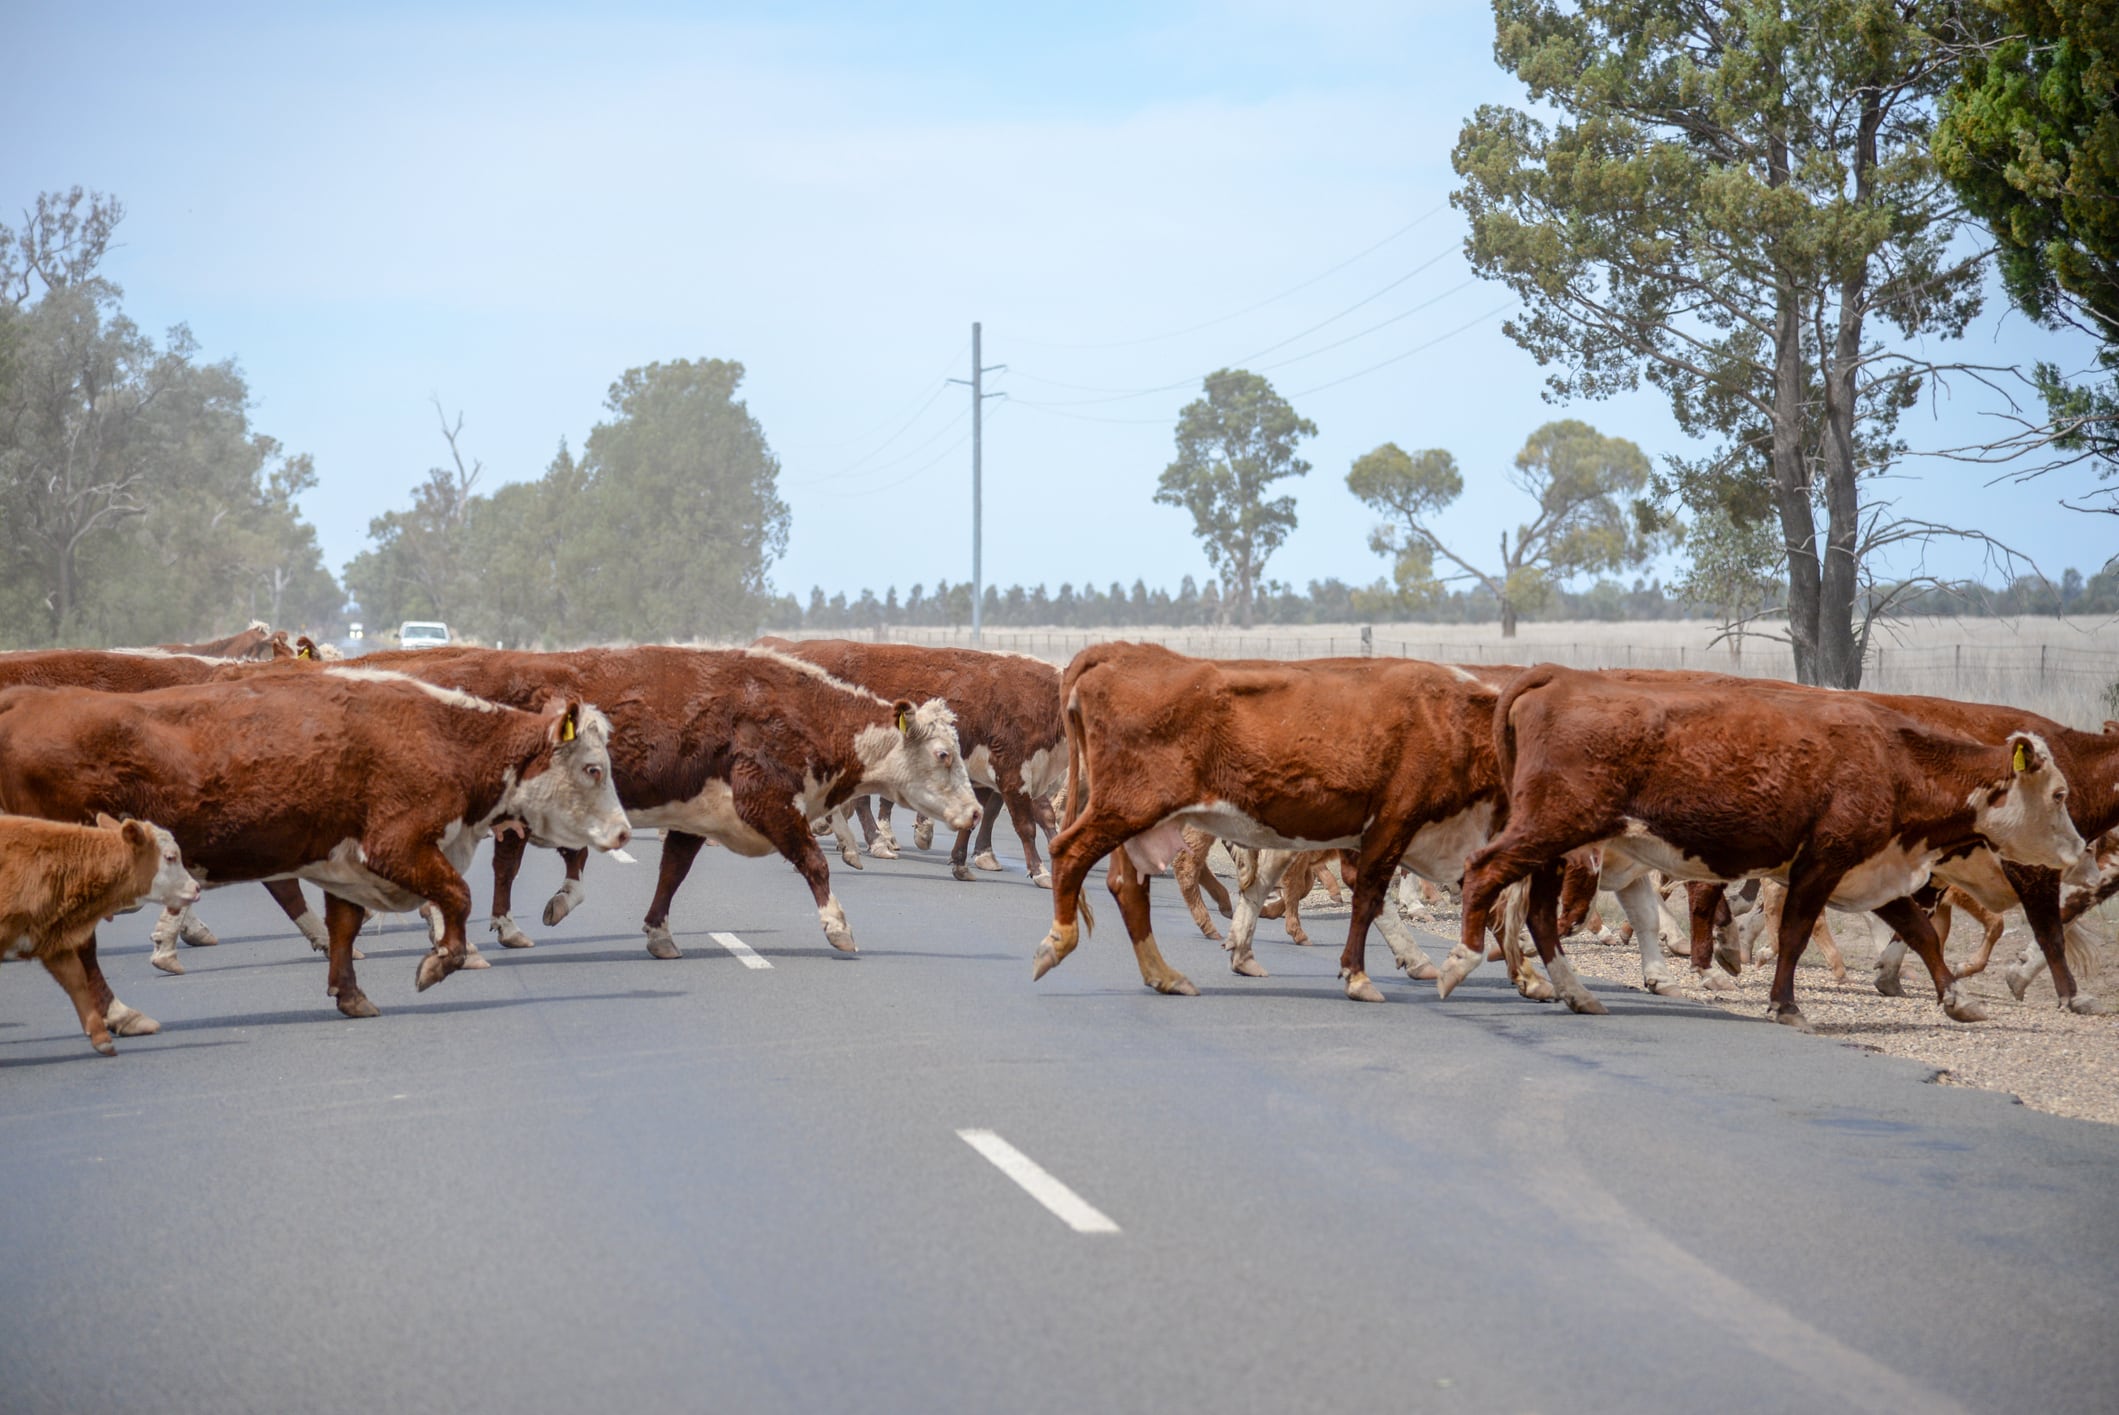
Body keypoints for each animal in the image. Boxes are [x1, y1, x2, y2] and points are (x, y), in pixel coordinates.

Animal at [0, 668, 631, 1021]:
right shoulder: (396, 846)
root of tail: (27, 699)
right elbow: (457, 897)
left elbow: (345, 928)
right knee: (81, 949)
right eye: (594, 769)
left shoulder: (345, 863)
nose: (625, 831)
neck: (441, 737)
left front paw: (350, 995)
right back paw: (119, 1012)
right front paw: (441, 962)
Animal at [342, 645, 980, 958]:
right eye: (944, 754)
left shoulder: (697, 815)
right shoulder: (766, 803)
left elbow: (671, 873)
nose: (974, 811)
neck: (799, 712)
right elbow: (814, 864)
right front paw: (838, 927)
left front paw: (658, 934)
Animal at [755, 640, 1063, 886]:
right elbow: (1024, 824)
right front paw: (1040, 872)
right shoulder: (1012, 769)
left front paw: (963, 862)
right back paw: (869, 842)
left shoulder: (1024, 774)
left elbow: (1033, 815)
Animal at [1030, 644, 1528, 1002]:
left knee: (1128, 886)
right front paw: (1360, 975)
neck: (1450, 717)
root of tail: (1119, 652)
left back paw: (1166, 975)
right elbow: (1369, 896)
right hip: (1127, 810)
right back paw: (1058, 942)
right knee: (1070, 852)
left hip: (1137, 823)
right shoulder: (1393, 823)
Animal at [1452, 665, 2089, 1029]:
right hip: (1550, 830)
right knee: (1483, 874)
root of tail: (1558, 676)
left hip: (1554, 844)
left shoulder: (1871, 868)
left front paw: (1958, 1001)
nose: (2080, 851)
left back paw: (1575, 992)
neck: (1892, 758)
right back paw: (1460, 962)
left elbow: (1921, 933)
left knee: (1537, 911)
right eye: (2059, 794)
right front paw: (1785, 1005)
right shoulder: (1822, 862)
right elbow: (1796, 934)